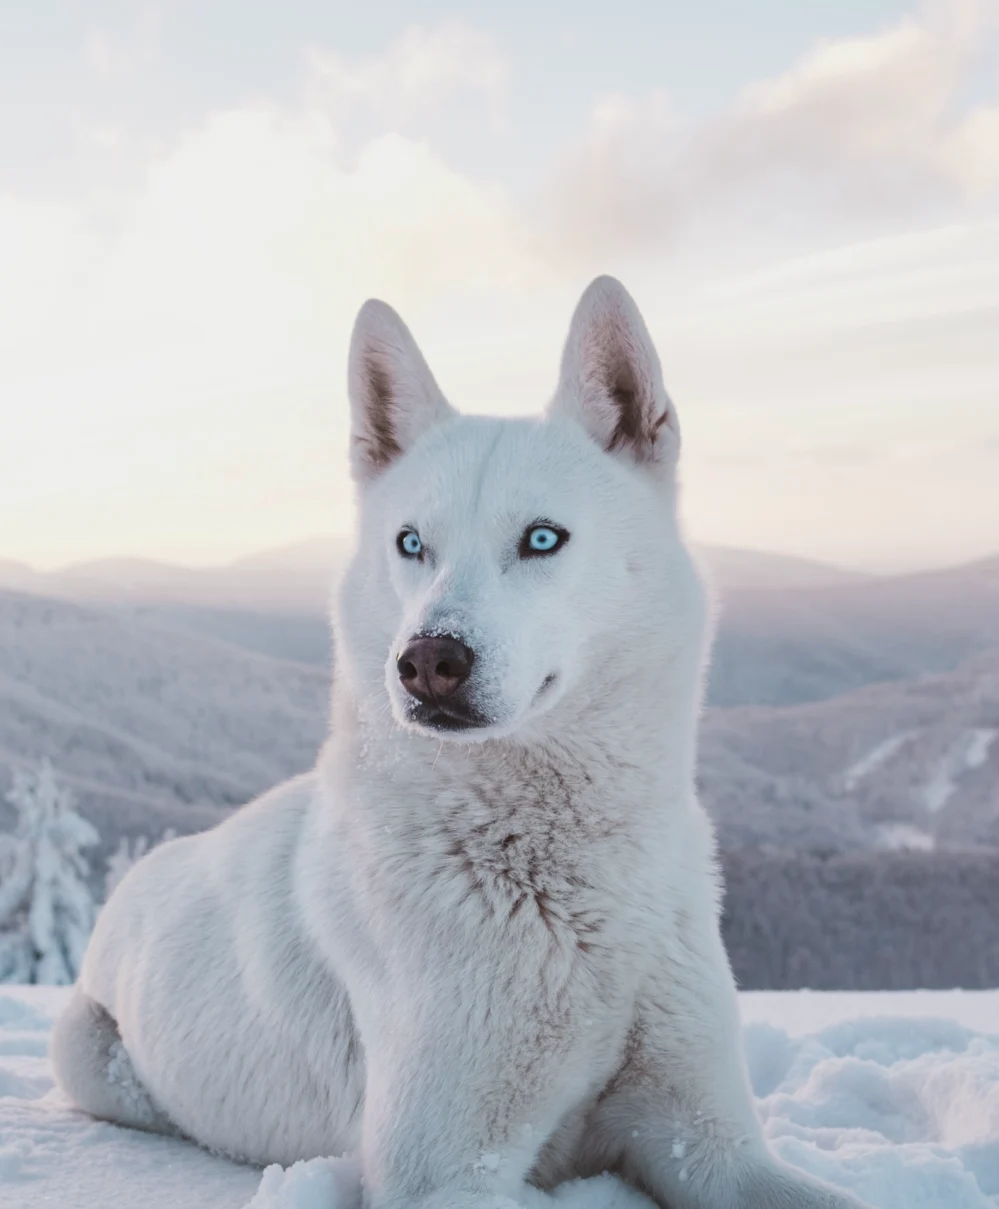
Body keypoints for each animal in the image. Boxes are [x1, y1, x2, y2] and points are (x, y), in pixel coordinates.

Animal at [52, 276, 865, 1209]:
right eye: (412, 543)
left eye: (542, 537)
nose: (427, 662)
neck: (565, 879)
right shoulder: (443, 1172)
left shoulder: (709, 1142)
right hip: (86, 1055)